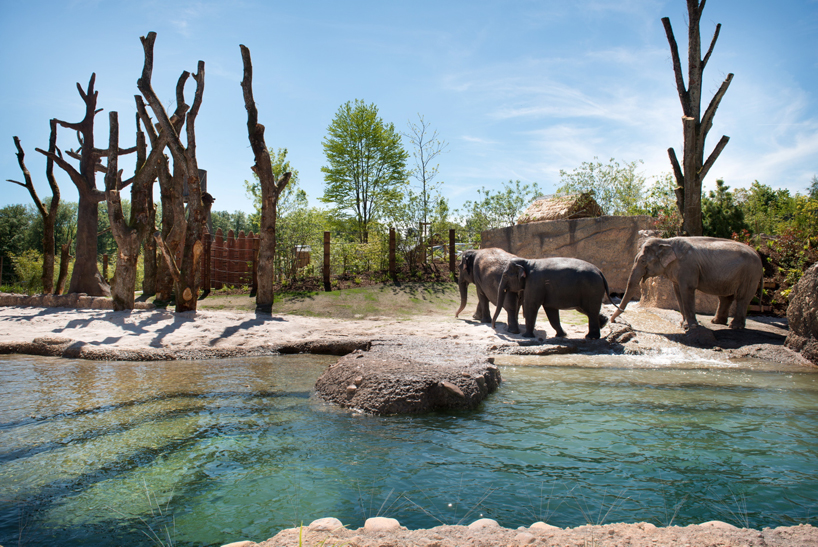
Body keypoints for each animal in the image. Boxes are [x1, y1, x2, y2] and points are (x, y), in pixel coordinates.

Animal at [610, 236, 763, 330]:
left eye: (642, 261)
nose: (613, 321)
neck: (666, 241)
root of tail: (757, 254)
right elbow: (678, 292)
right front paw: (683, 324)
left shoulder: (687, 266)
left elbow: (687, 290)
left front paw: (691, 326)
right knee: (726, 297)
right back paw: (717, 322)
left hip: (750, 274)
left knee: (742, 297)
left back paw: (734, 326)